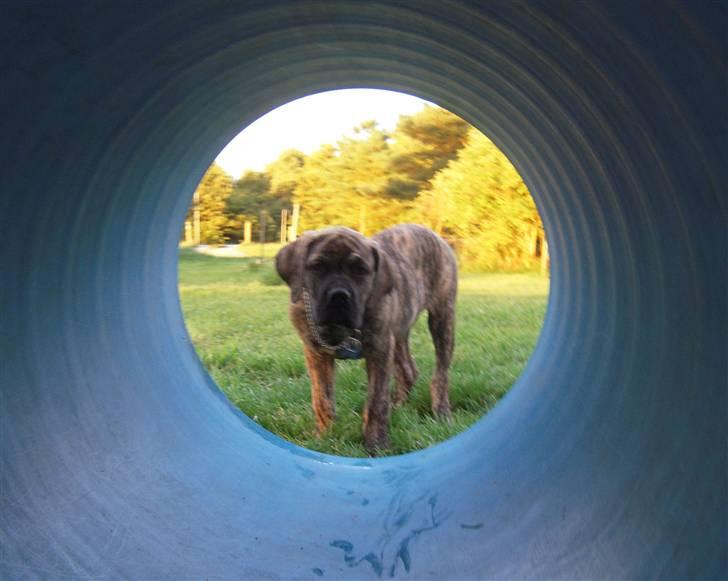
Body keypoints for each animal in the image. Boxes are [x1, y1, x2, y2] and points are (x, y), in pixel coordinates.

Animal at [276, 222, 458, 454]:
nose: (339, 296)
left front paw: (376, 444)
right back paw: (397, 406)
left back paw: (441, 412)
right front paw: (325, 437)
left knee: (440, 375)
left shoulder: (379, 351)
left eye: (360, 270)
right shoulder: (316, 352)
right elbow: (322, 398)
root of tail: (430, 232)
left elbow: (376, 402)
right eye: (317, 267)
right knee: (408, 370)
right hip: (398, 331)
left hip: (442, 319)